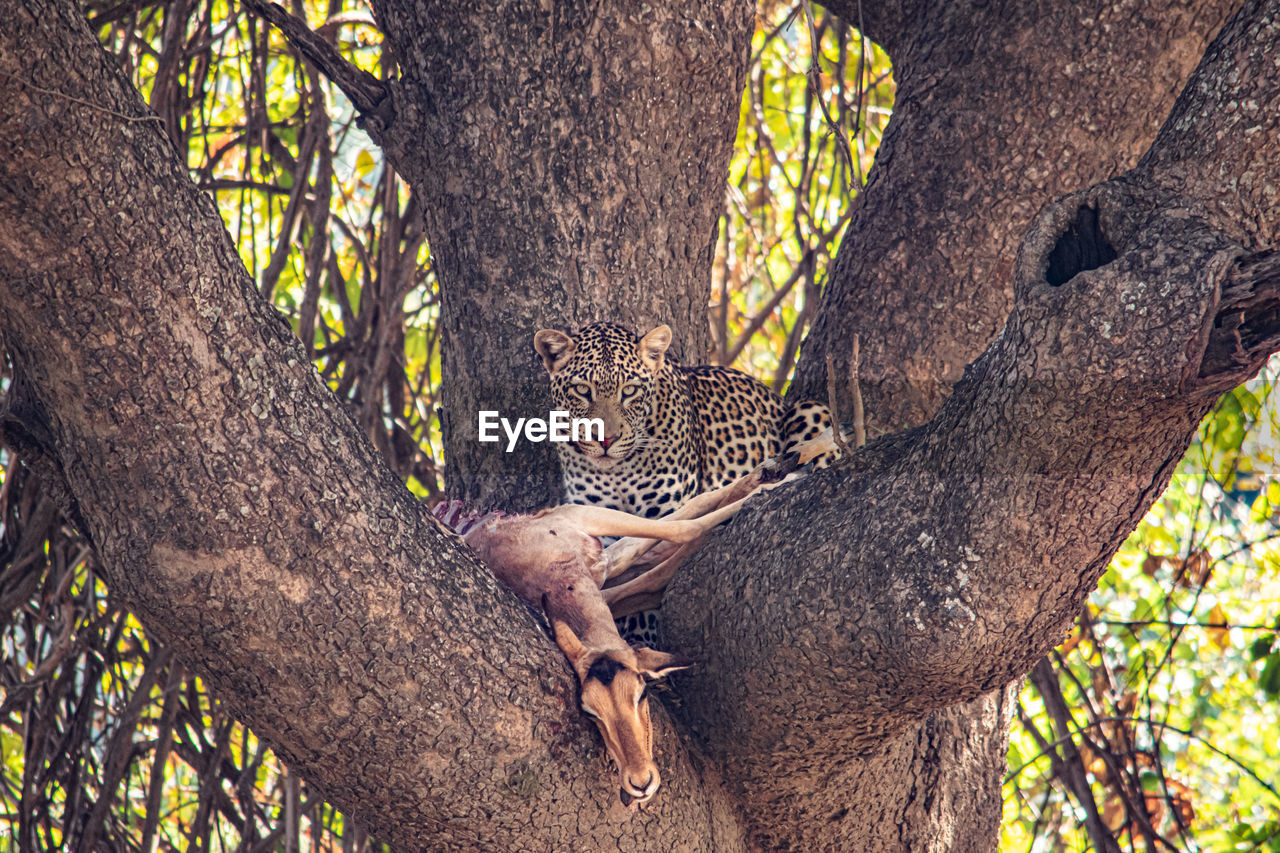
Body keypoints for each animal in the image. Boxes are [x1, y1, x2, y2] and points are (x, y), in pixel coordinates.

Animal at [529, 318, 829, 637]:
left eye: (630, 390)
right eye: (583, 390)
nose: (606, 440)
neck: (618, 470)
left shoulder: (662, 510)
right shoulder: (601, 524)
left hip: (812, 409)